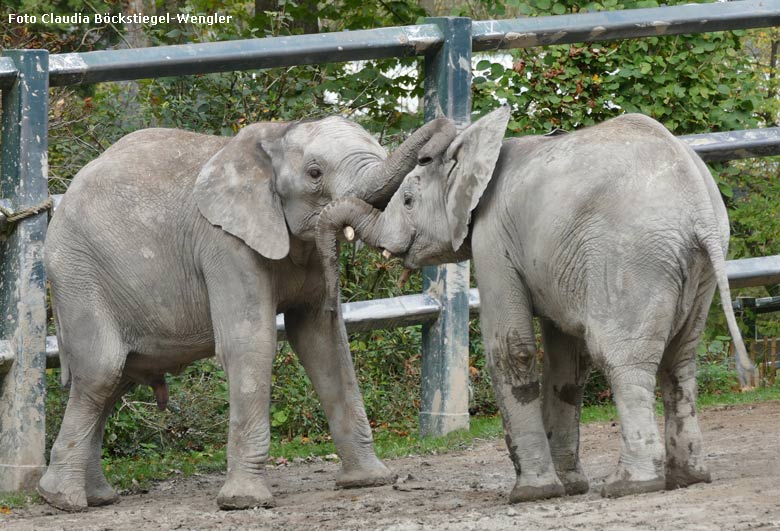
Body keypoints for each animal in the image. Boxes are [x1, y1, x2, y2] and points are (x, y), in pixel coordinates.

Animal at [39, 114, 458, 512]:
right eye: (314, 173)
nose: (437, 140)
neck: (273, 138)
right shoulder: (225, 243)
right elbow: (250, 343)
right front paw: (244, 502)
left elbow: (324, 343)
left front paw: (369, 481)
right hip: (77, 274)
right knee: (101, 373)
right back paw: (62, 500)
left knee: (115, 381)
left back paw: (97, 498)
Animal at [316, 107, 756, 502]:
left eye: (407, 200)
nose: (333, 303)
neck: (478, 147)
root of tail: (698, 207)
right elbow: (567, 363)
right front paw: (570, 486)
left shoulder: (493, 237)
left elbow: (513, 349)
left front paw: (532, 493)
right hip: (699, 268)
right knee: (679, 359)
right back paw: (689, 478)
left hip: (631, 259)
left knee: (621, 358)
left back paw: (629, 485)